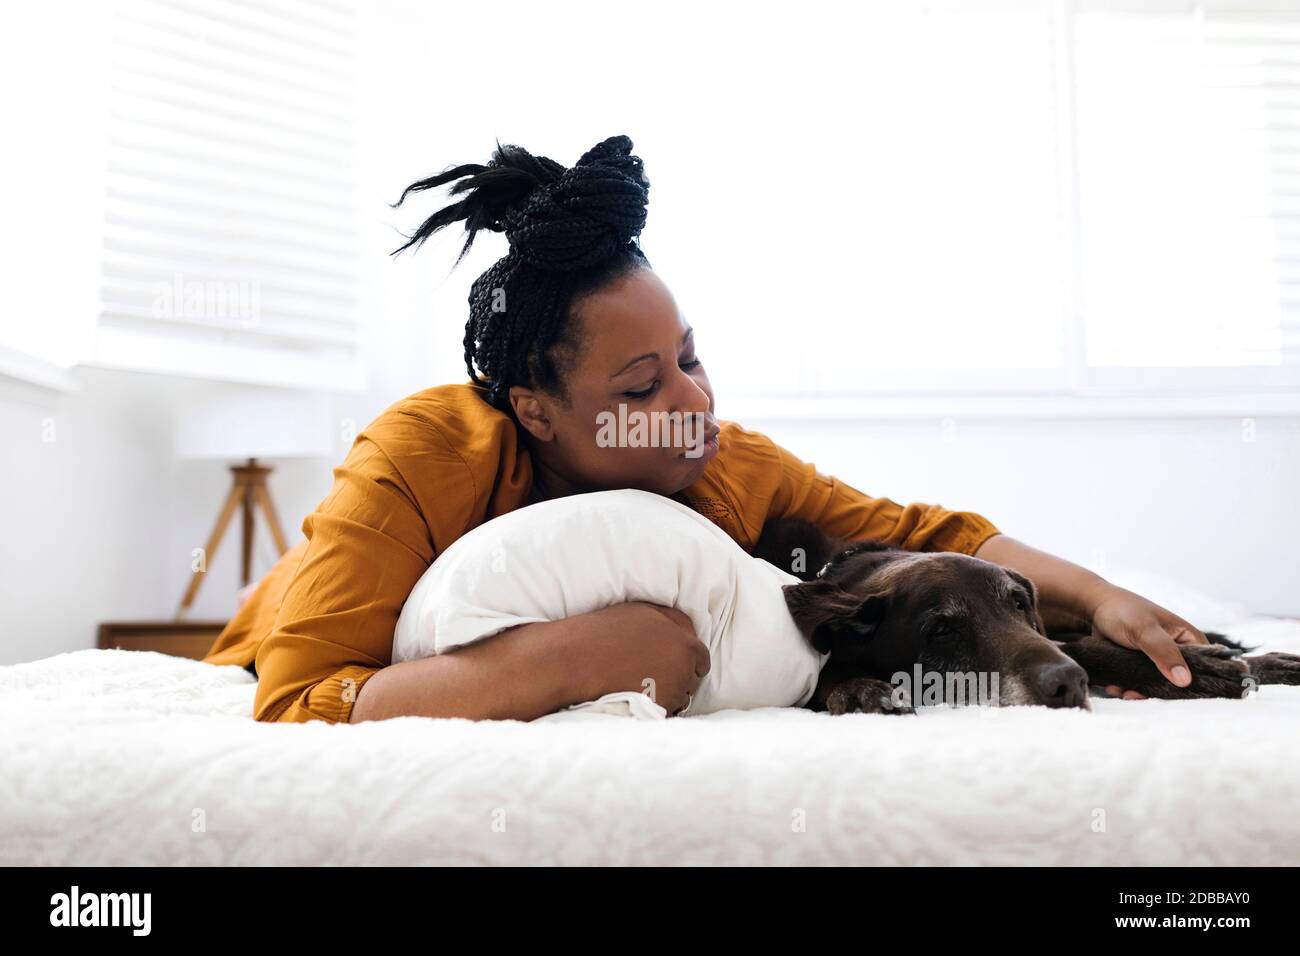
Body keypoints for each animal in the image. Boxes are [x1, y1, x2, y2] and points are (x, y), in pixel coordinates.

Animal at [754, 520, 1300, 712]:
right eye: (941, 630)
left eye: (1018, 603)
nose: (1069, 684)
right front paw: (855, 688)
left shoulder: (1050, 636)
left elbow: (1098, 649)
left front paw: (1200, 667)